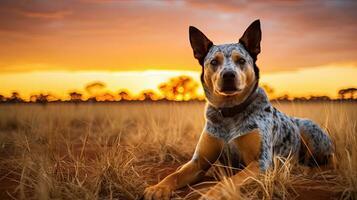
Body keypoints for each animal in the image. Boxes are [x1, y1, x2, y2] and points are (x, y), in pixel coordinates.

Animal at [143, 19, 334, 200]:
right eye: (214, 62)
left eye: (241, 60)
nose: (228, 75)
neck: (230, 112)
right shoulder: (198, 162)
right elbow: (174, 175)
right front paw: (157, 188)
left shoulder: (260, 164)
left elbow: (229, 181)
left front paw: (211, 194)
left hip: (308, 128)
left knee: (329, 162)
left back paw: (305, 169)